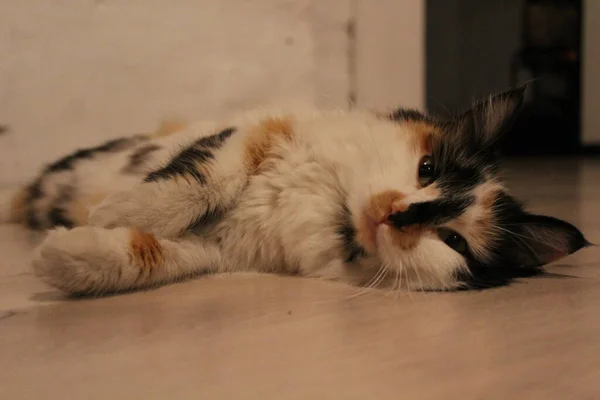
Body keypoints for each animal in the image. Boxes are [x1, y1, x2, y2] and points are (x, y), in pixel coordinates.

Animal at [0, 86, 592, 294]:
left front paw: (66, 257)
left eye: (455, 242)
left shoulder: (220, 251)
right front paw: (117, 210)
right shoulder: (251, 136)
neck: (327, 208)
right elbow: (197, 183)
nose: (393, 213)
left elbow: (153, 256)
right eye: (426, 168)